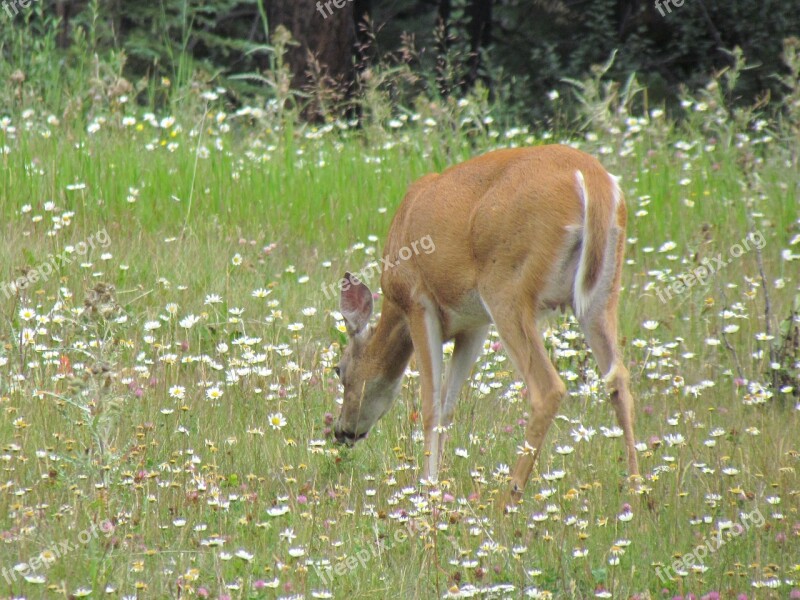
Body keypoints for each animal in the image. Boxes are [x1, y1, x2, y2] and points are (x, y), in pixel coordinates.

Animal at [334, 145, 640, 506]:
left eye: (339, 370)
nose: (341, 430)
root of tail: (594, 181)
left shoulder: (418, 302)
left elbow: (430, 405)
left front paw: (427, 487)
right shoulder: (474, 325)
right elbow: (448, 407)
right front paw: (437, 482)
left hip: (506, 286)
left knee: (548, 387)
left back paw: (509, 497)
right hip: (603, 293)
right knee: (618, 380)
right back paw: (637, 489)